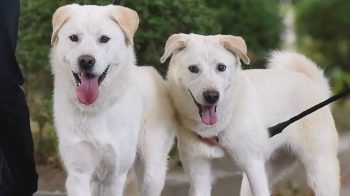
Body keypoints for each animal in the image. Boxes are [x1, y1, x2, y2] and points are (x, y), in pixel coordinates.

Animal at [49, 4, 176, 196]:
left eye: (104, 39)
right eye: (74, 38)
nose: (86, 61)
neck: (95, 108)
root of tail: (154, 73)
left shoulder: (114, 177)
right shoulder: (79, 174)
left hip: (151, 174)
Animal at [163, 33, 340, 195]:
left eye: (221, 67)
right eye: (193, 68)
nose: (212, 96)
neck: (218, 129)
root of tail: (312, 83)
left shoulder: (253, 167)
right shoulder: (199, 175)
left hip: (321, 173)